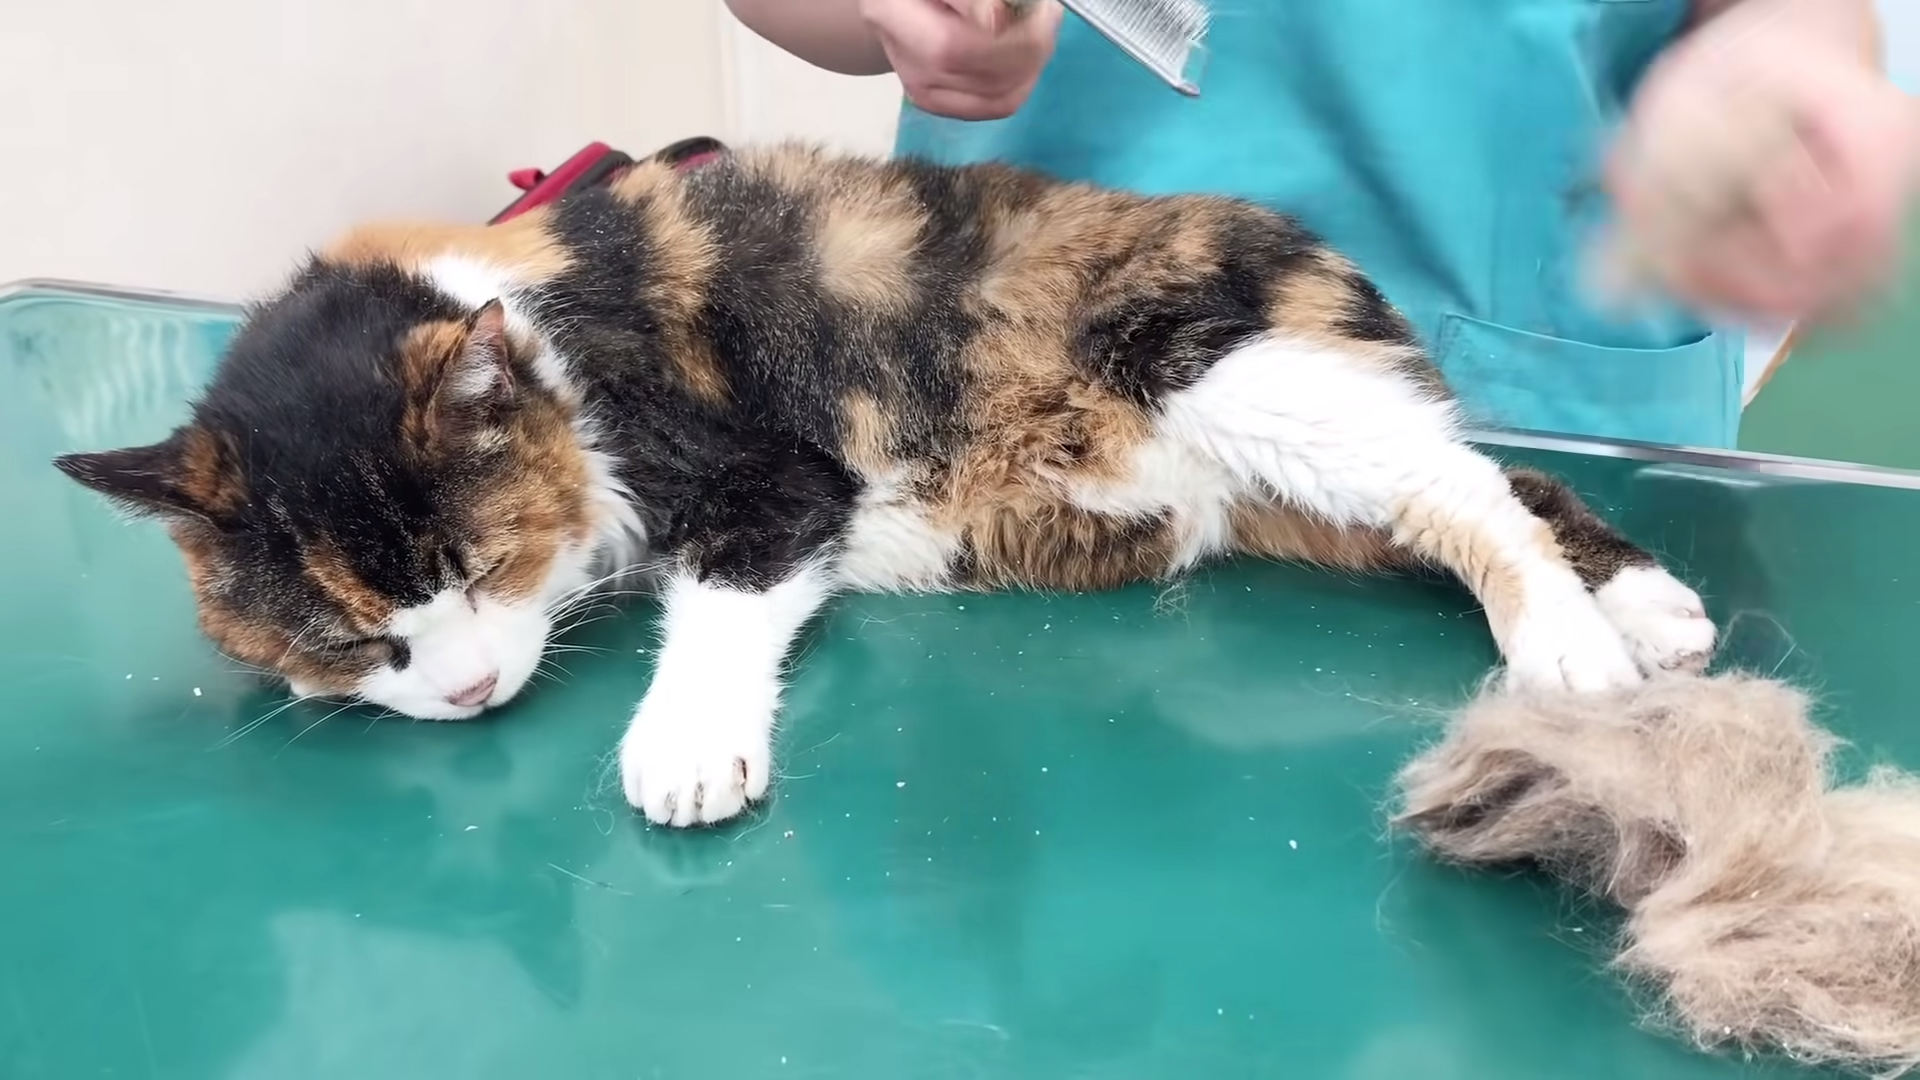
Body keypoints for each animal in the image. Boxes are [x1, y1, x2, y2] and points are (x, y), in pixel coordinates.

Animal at [53, 140, 1718, 828]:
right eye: (353, 637)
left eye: (478, 567)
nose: (463, 695)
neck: (533, 335)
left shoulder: (769, 474)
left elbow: (722, 593)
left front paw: (684, 747)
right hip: (1283, 476)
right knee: (1472, 475)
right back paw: (1642, 609)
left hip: (1214, 361)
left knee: (1468, 488)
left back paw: (1574, 642)